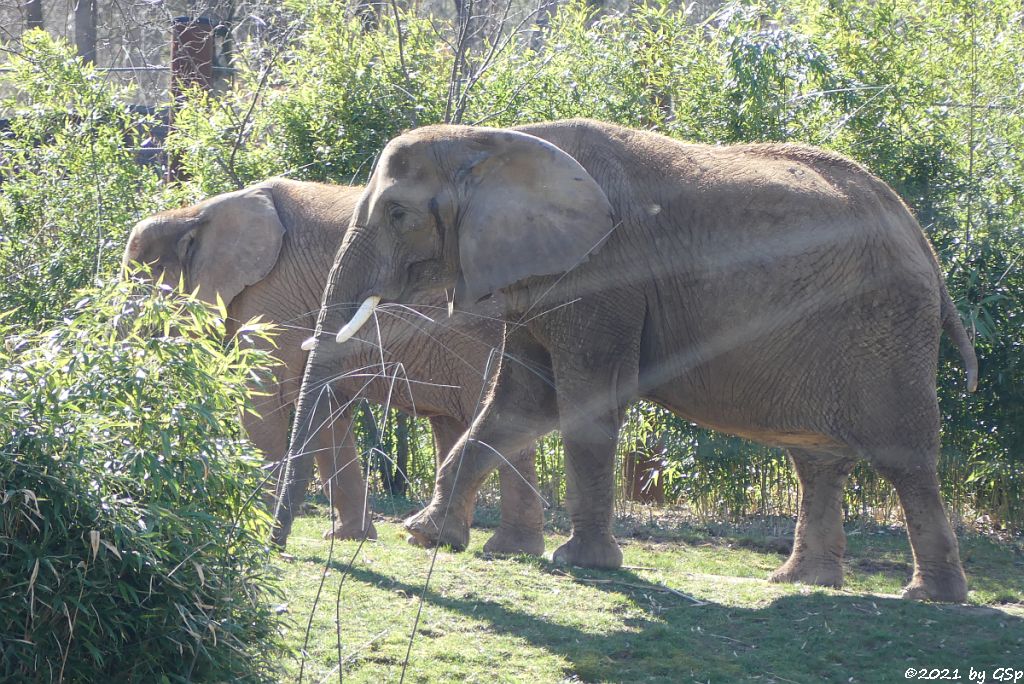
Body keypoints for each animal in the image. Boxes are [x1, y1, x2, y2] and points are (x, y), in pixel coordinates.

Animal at [119, 179, 544, 552]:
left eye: (140, 289)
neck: (193, 213)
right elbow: (325, 408)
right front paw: (348, 538)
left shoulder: (274, 290)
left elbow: (267, 395)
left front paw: (254, 525)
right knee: (451, 425)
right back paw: (432, 540)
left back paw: (506, 550)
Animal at [292, 118, 978, 602]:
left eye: (398, 213)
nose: (288, 545)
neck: (495, 141)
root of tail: (921, 237)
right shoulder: (541, 279)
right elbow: (518, 405)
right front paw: (427, 535)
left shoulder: (605, 277)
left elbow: (584, 403)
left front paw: (582, 564)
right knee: (816, 457)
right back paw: (800, 584)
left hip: (888, 327)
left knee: (904, 454)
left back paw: (930, 597)